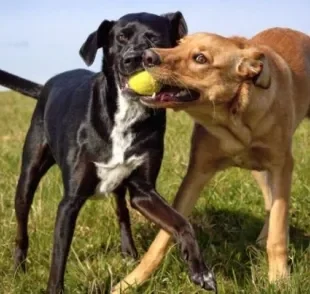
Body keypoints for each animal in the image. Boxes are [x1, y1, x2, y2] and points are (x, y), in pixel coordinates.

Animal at [0, 12, 217, 294]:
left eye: (154, 38)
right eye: (120, 37)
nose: (134, 59)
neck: (126, 115)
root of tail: (46, 85)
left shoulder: (143, 192)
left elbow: (181, 222)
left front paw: (200, 270)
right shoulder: (70, 202)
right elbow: (58, 260)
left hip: (118, 187)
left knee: (122, 213)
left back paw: (129, 251)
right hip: (28, 174)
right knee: (21, 225)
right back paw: (18, 268)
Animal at [112, 28, 310, 292]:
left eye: (200, 58)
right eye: (178, 44)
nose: (146, 56)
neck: (233, 121)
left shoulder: (282, 165)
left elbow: (278, 234)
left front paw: (279, 279)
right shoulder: (197, 173)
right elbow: (163, 237)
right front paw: (130, 282)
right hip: (259, 169)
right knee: (270, 199)